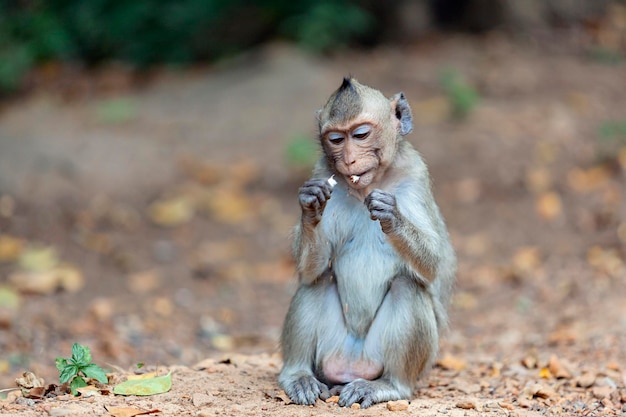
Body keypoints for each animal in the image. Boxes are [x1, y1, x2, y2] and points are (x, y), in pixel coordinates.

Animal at [278, 77, 454, 406]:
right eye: (336, 139)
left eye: (360, 134)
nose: (349, 159)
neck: (367, 188)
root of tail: (352, 363)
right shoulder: (322, 171)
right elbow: (309, 270)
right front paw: (310, 204)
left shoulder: (415, 176)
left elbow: (434, 267)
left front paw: (391, 215)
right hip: (333, 350)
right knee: (316, 282)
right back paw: (298, 376)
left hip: (387, 358)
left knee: (408, 286)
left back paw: (389, 386)